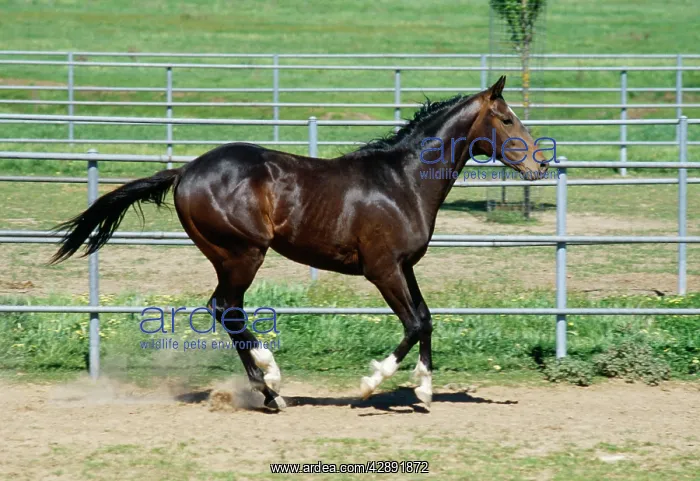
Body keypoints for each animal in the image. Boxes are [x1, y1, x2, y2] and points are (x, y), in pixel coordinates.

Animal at [51, 76, 549, 410]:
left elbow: (426, 319)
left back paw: (270, 389)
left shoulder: (404, 266)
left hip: (232, 256)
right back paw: (271, 384)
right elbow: (412, 324)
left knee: (226, 309)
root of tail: (187, 171)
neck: (401, 183)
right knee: (225, 307)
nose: (540, 165)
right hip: (243, 253)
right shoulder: (382, 269)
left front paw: (424, 389)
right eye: (507, 118)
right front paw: (371, 382)